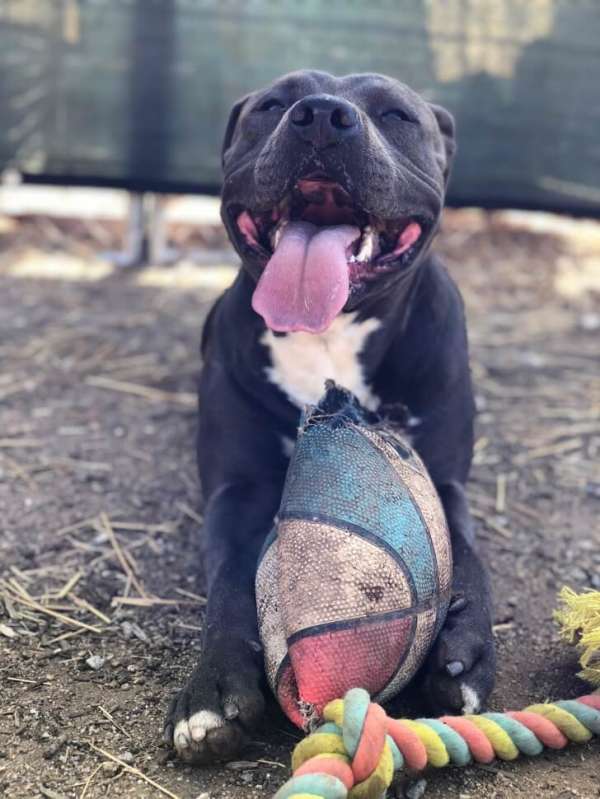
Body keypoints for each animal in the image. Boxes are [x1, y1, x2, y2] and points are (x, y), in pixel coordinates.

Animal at [162, 70, 494, 764]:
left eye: (396, 115)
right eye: (271, 105)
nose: (319, 115)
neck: (328, 333)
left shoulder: (446, 482)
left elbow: (470, 552)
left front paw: (467, 648)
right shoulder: (237, 491)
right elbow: (229, 580)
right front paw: (213, 688)